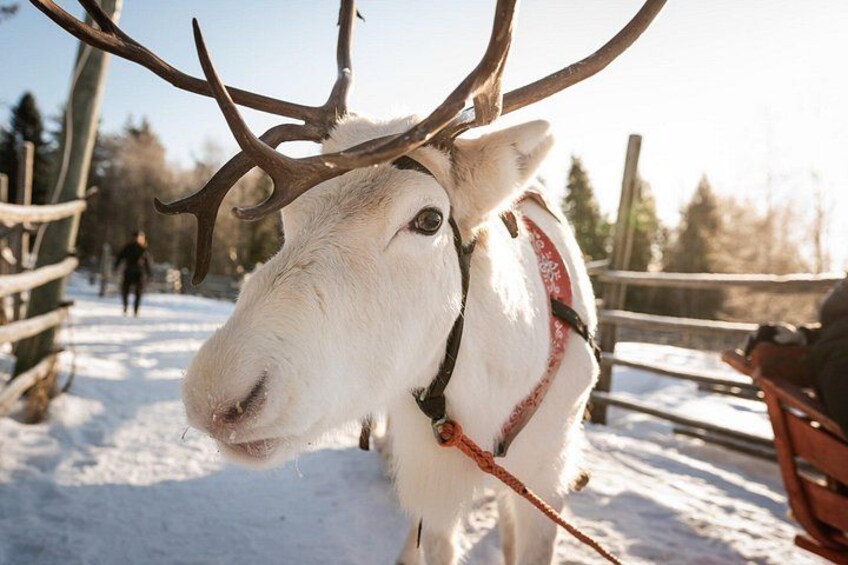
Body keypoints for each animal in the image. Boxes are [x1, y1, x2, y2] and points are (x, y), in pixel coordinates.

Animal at [33, 1, 666, 563]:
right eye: (286, 217)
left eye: (429, 219)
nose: (216, 398)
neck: (493, 391)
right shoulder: (429, 467)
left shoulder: (544, 476)